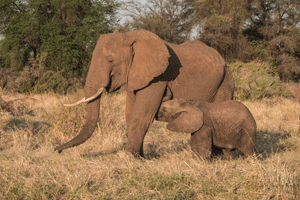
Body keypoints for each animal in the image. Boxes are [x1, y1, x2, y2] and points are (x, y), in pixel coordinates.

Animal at [54, 29, 237, 156]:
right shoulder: (136, 74)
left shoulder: (160, 76)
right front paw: (139, 157)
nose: (57, 149)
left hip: (225, 82)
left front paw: (129, 157)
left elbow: (141, 114)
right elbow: (130, 114)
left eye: (111, 60)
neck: (128, 37)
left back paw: (218, 157)